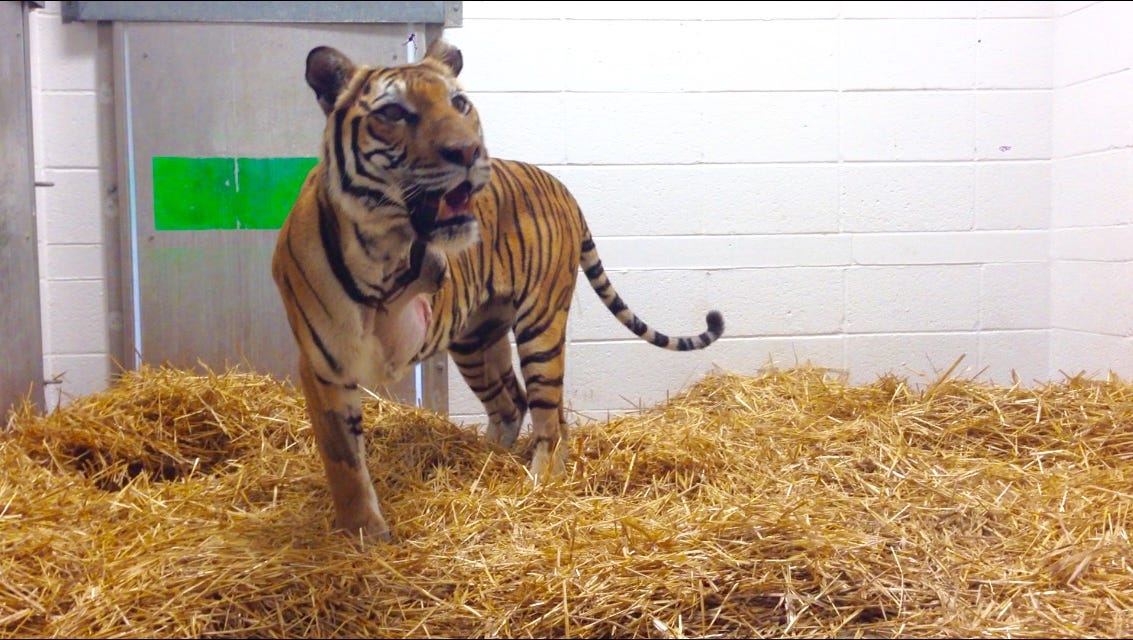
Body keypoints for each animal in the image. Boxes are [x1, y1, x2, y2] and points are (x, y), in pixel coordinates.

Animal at [271, 39, 725, 541]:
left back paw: (540, 482)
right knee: (514, 403)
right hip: (474, 338)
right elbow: (344, 462)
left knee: (549, 416)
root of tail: (562, 185)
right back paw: (490, 459)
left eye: (459, 103)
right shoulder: (324, 366)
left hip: (540, 326)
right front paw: (363, 537)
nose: (469, 151)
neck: (385, 253)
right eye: (393, 112)